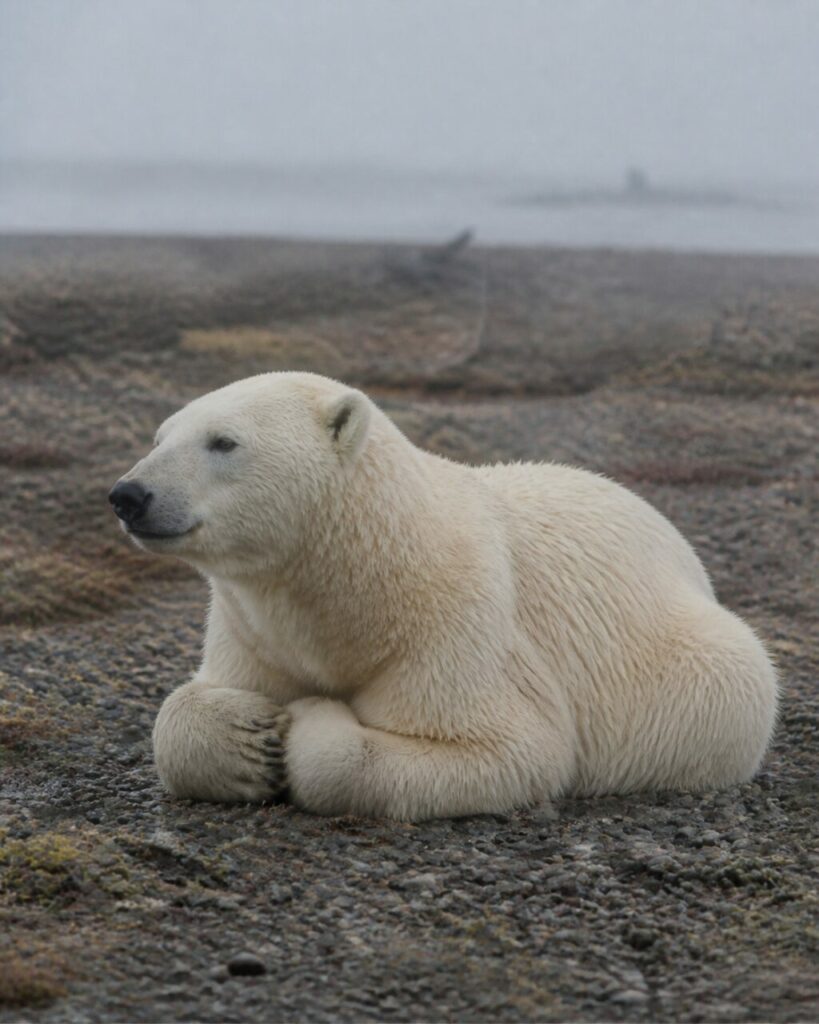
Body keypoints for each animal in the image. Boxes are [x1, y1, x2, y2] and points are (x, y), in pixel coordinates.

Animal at [109, 371, 778, 821]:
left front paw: (303, 723)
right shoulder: (254, 627)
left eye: (223, 441)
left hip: (694, 662)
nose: (129, 494)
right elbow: (189, 708)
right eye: (161, 436)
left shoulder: (456, 619)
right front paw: (249, 733)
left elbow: (510, 747)